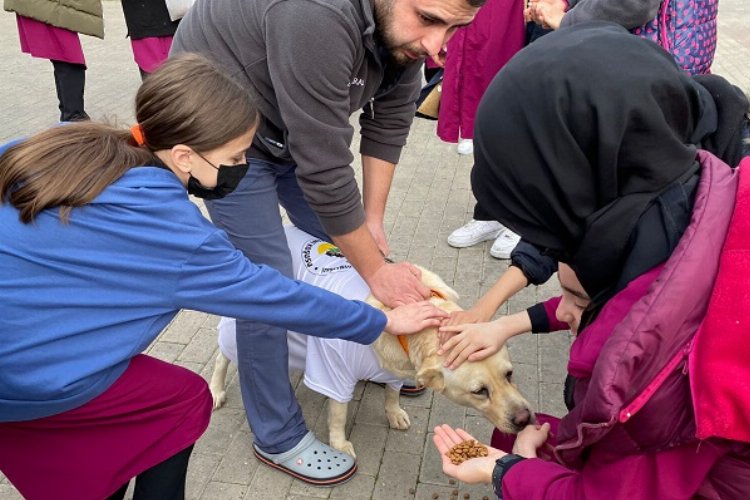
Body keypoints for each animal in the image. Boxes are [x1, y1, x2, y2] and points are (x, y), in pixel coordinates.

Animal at [209, 226, 532, 458]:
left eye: (510, 374)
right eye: (479, 391)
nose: (525, 419)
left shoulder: (396, 369)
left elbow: (392, 392)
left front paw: (394, 412)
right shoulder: (334, 370)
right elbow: (338, 414)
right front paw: (339, 444)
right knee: (223, 356)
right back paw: (215, 390)